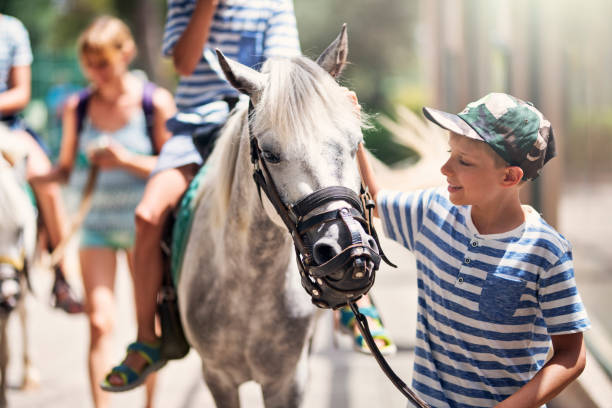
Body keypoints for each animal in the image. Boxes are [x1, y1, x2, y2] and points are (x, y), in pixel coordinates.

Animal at [177, 27, 378, 406]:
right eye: (270, 153)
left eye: (354, 143)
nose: (348, 250)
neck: (249, 288)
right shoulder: (218, 377)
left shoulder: (288, 380)